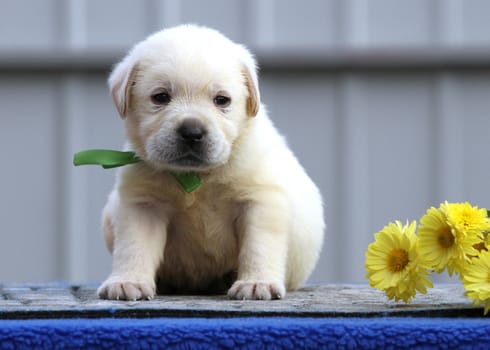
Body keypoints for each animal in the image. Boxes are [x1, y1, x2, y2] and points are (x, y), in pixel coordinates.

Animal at [96, 23, 326, 300]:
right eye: (160, 97)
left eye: (221, 100)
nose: (192, 132)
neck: (197, 178)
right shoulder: (143, 207)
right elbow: (133, 247)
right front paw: (128, 281)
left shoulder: (260, 202)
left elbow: (258, 247)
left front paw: (256, 283)